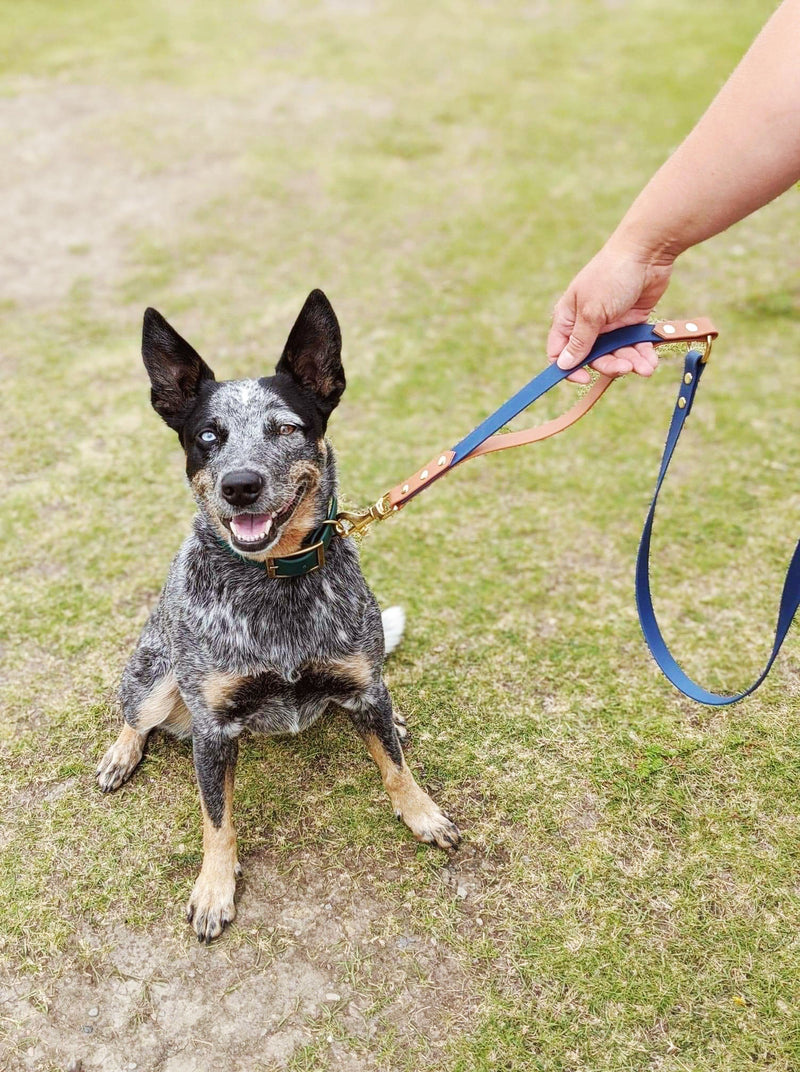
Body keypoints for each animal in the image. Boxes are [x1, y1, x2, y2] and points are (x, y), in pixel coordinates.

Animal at [95, 291, 458, 939]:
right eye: (208, 436)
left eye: (286, 427)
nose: (240, 485)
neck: (276, 580)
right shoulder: (213, 730)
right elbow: (217, 820)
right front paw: (214, 888)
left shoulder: (363, 684)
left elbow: (395, 766)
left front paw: (422, 813)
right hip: (155, 678)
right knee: (137, 716)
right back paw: (120, 753)